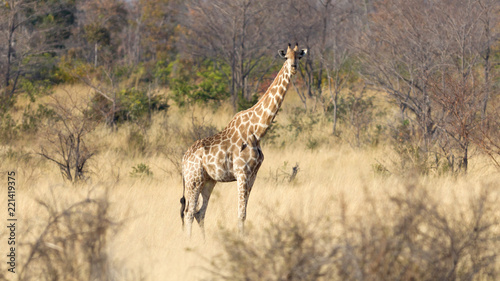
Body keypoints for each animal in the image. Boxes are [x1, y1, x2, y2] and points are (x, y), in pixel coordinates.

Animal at [178, 42, 306, 237]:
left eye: (299, 56)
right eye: (286, 57)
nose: (293, 68)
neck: (257, 131)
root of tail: (184, 160)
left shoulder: (252, 175)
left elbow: (244, 213)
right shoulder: (241, 173)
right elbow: (240, 213)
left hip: (208, 181)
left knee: (200, 213)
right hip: (194, 179)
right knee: (189, 212)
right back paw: (189, 241)